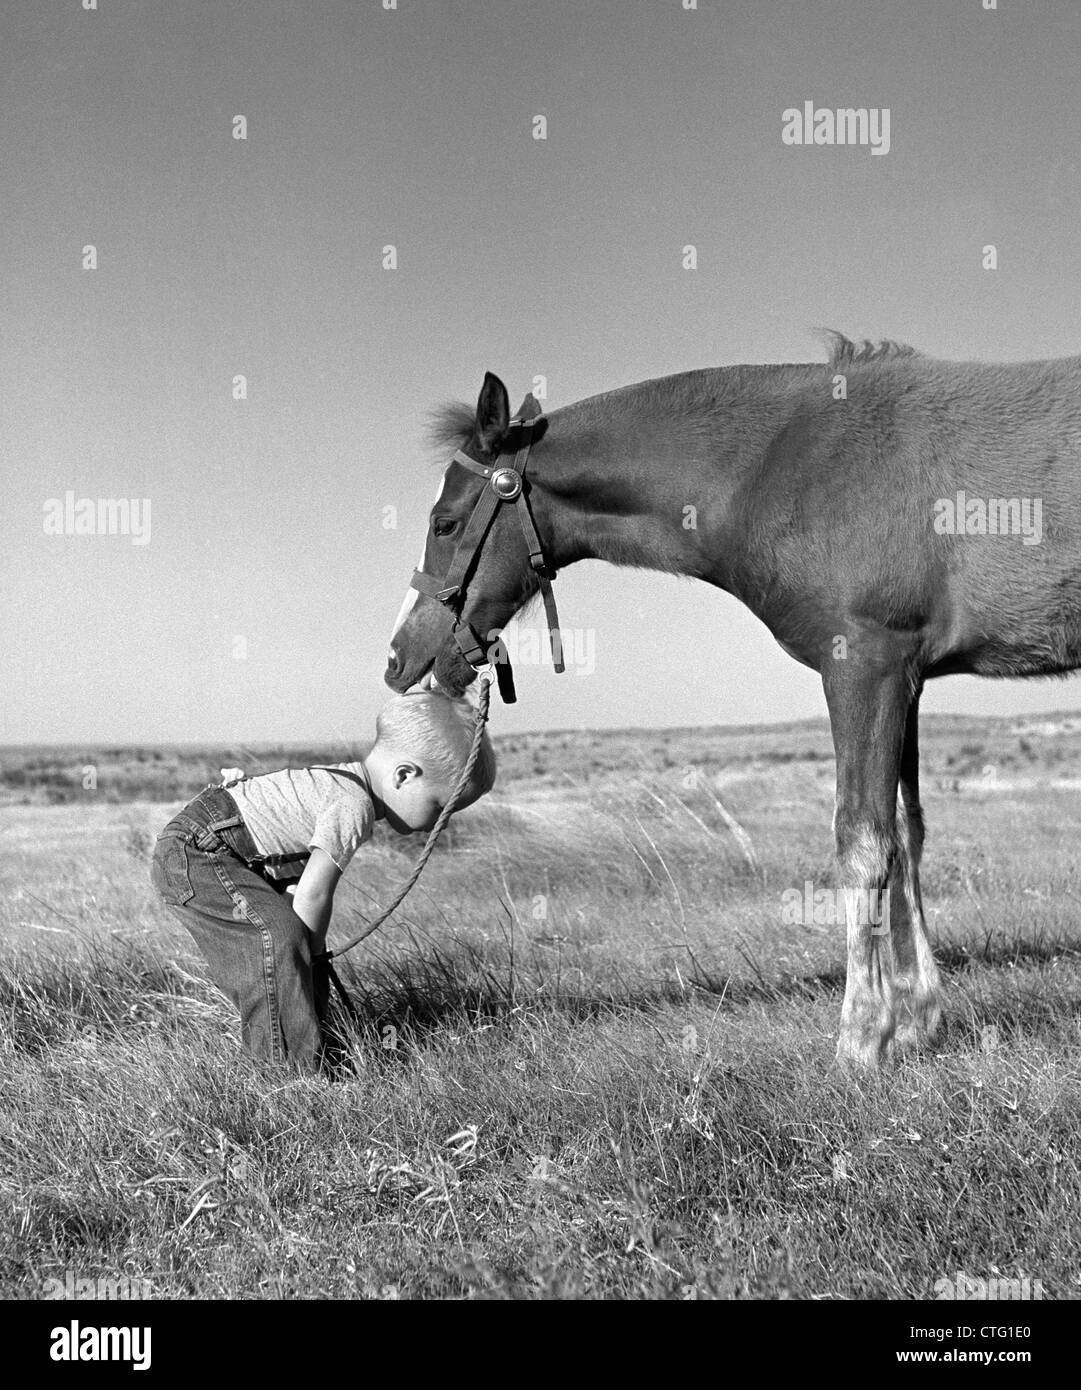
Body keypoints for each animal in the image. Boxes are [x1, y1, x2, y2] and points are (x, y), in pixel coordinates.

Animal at [386, 330, 1078, 1067]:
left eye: (445, 523)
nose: (400, 659)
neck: (782, 465)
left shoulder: (866, 667)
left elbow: (863, 842)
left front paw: (862, 1036)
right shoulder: (908, 678)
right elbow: (909, 836)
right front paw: (919, 1016)